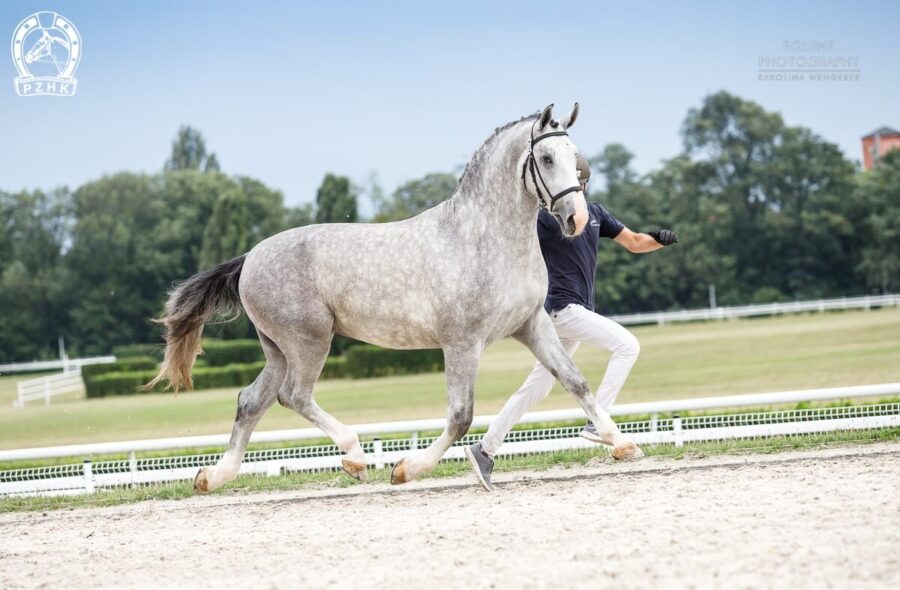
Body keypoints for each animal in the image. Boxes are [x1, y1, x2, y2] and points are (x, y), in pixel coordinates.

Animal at [149, 105, 640, 494]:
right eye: (546, 157)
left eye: (576, 159)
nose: (576, 219)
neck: (485, 238)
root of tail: (251, 257)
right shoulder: (462, 343)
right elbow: (461, 415)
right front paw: (407, 469)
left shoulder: (531, 325)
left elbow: (575, 381)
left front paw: (620, 442)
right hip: (310, 342)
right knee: (295, 396)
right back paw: (354, 456)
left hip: (279, 350)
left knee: (252, 400)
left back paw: (212, 476)